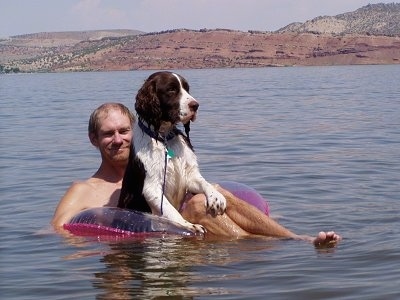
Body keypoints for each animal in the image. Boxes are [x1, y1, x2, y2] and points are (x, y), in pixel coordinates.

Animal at [117, 71, 227, 233]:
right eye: (171, 89)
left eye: (187, 88)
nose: (195, 105)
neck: (164, 138)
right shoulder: (152, 187)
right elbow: (171, 211)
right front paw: (189, 225)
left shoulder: (189, 176)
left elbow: (203, 182)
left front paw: (216, 196)